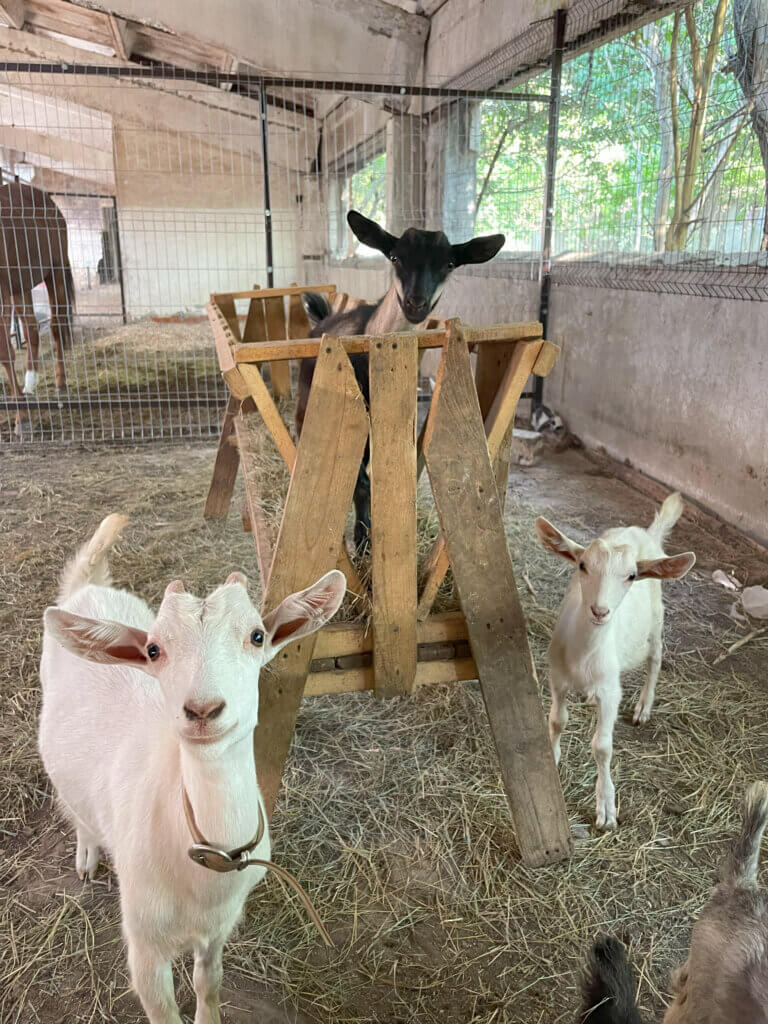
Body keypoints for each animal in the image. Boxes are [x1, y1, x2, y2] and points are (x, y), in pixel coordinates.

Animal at [38, 516, 346, 1024]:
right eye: (154, 650)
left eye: (257, 635)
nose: (202, 709)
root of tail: (85, 591)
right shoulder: (143, 944)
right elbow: (161, 1009)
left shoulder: (220, 927)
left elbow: (209, 981)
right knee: (75, 806)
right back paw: (87, 854)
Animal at [536, 489, 696, 831]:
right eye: (582, 565)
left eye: (631, 576)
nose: (600, 611)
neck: (584, 654)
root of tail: (645, 533)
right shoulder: (557, 677)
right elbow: (556, 721)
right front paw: (552, 759)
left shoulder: (610, 691)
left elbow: (602, 746)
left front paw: (606, 808)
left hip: (656, 619)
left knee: (655, 658)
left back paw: (644, 707)